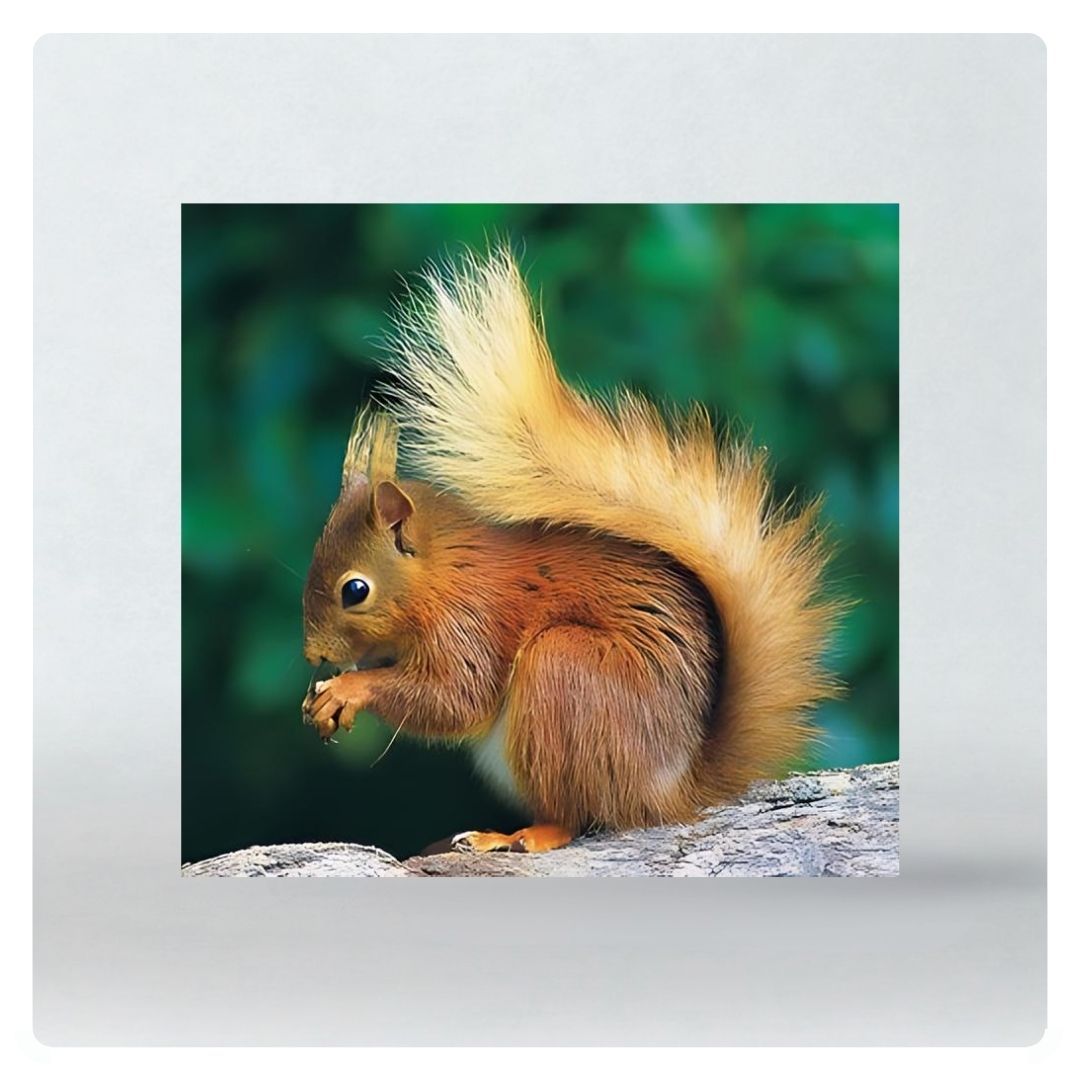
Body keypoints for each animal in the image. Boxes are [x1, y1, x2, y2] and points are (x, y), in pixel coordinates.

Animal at [300, 248, 842, 855]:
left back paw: (517, 836)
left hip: (564, 673)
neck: (443, 573)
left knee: (573, 815)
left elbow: (456, 698)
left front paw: (349, 688)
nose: (313, 655)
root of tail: (668, 792)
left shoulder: (469, 622)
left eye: (355, 590)